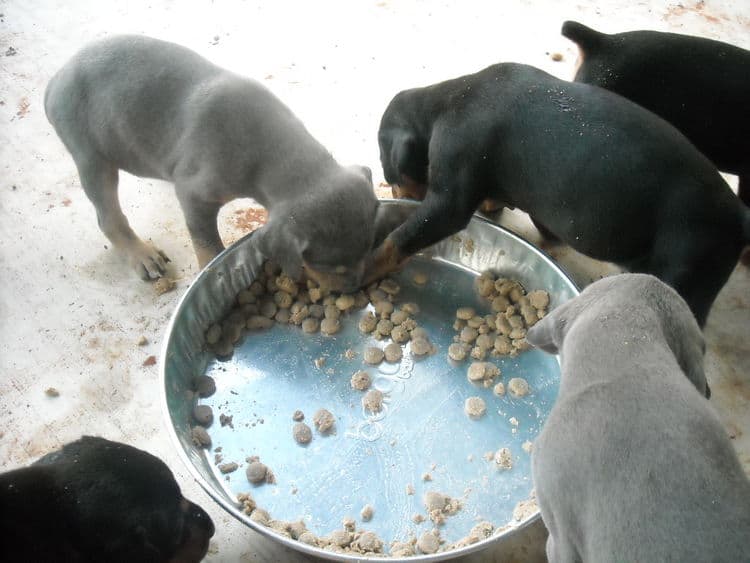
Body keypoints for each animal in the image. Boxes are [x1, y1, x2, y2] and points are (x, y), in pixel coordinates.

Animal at [44, 35, 378, 290]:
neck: (277, 151)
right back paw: (142, 254)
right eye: (330, 267)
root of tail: (54, 79)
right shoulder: (196, 195)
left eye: (368, 248)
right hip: (90, 155)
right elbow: (208, 247)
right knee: (108, 217)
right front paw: (211, 273)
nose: (355, 289)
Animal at [376, 61, 750, 326]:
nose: (398, 194)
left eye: (387, 170)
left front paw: (369, 264)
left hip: (685, 268)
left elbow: (401, 238)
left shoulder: (452, 184)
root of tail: (737, 214)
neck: (447, 100)